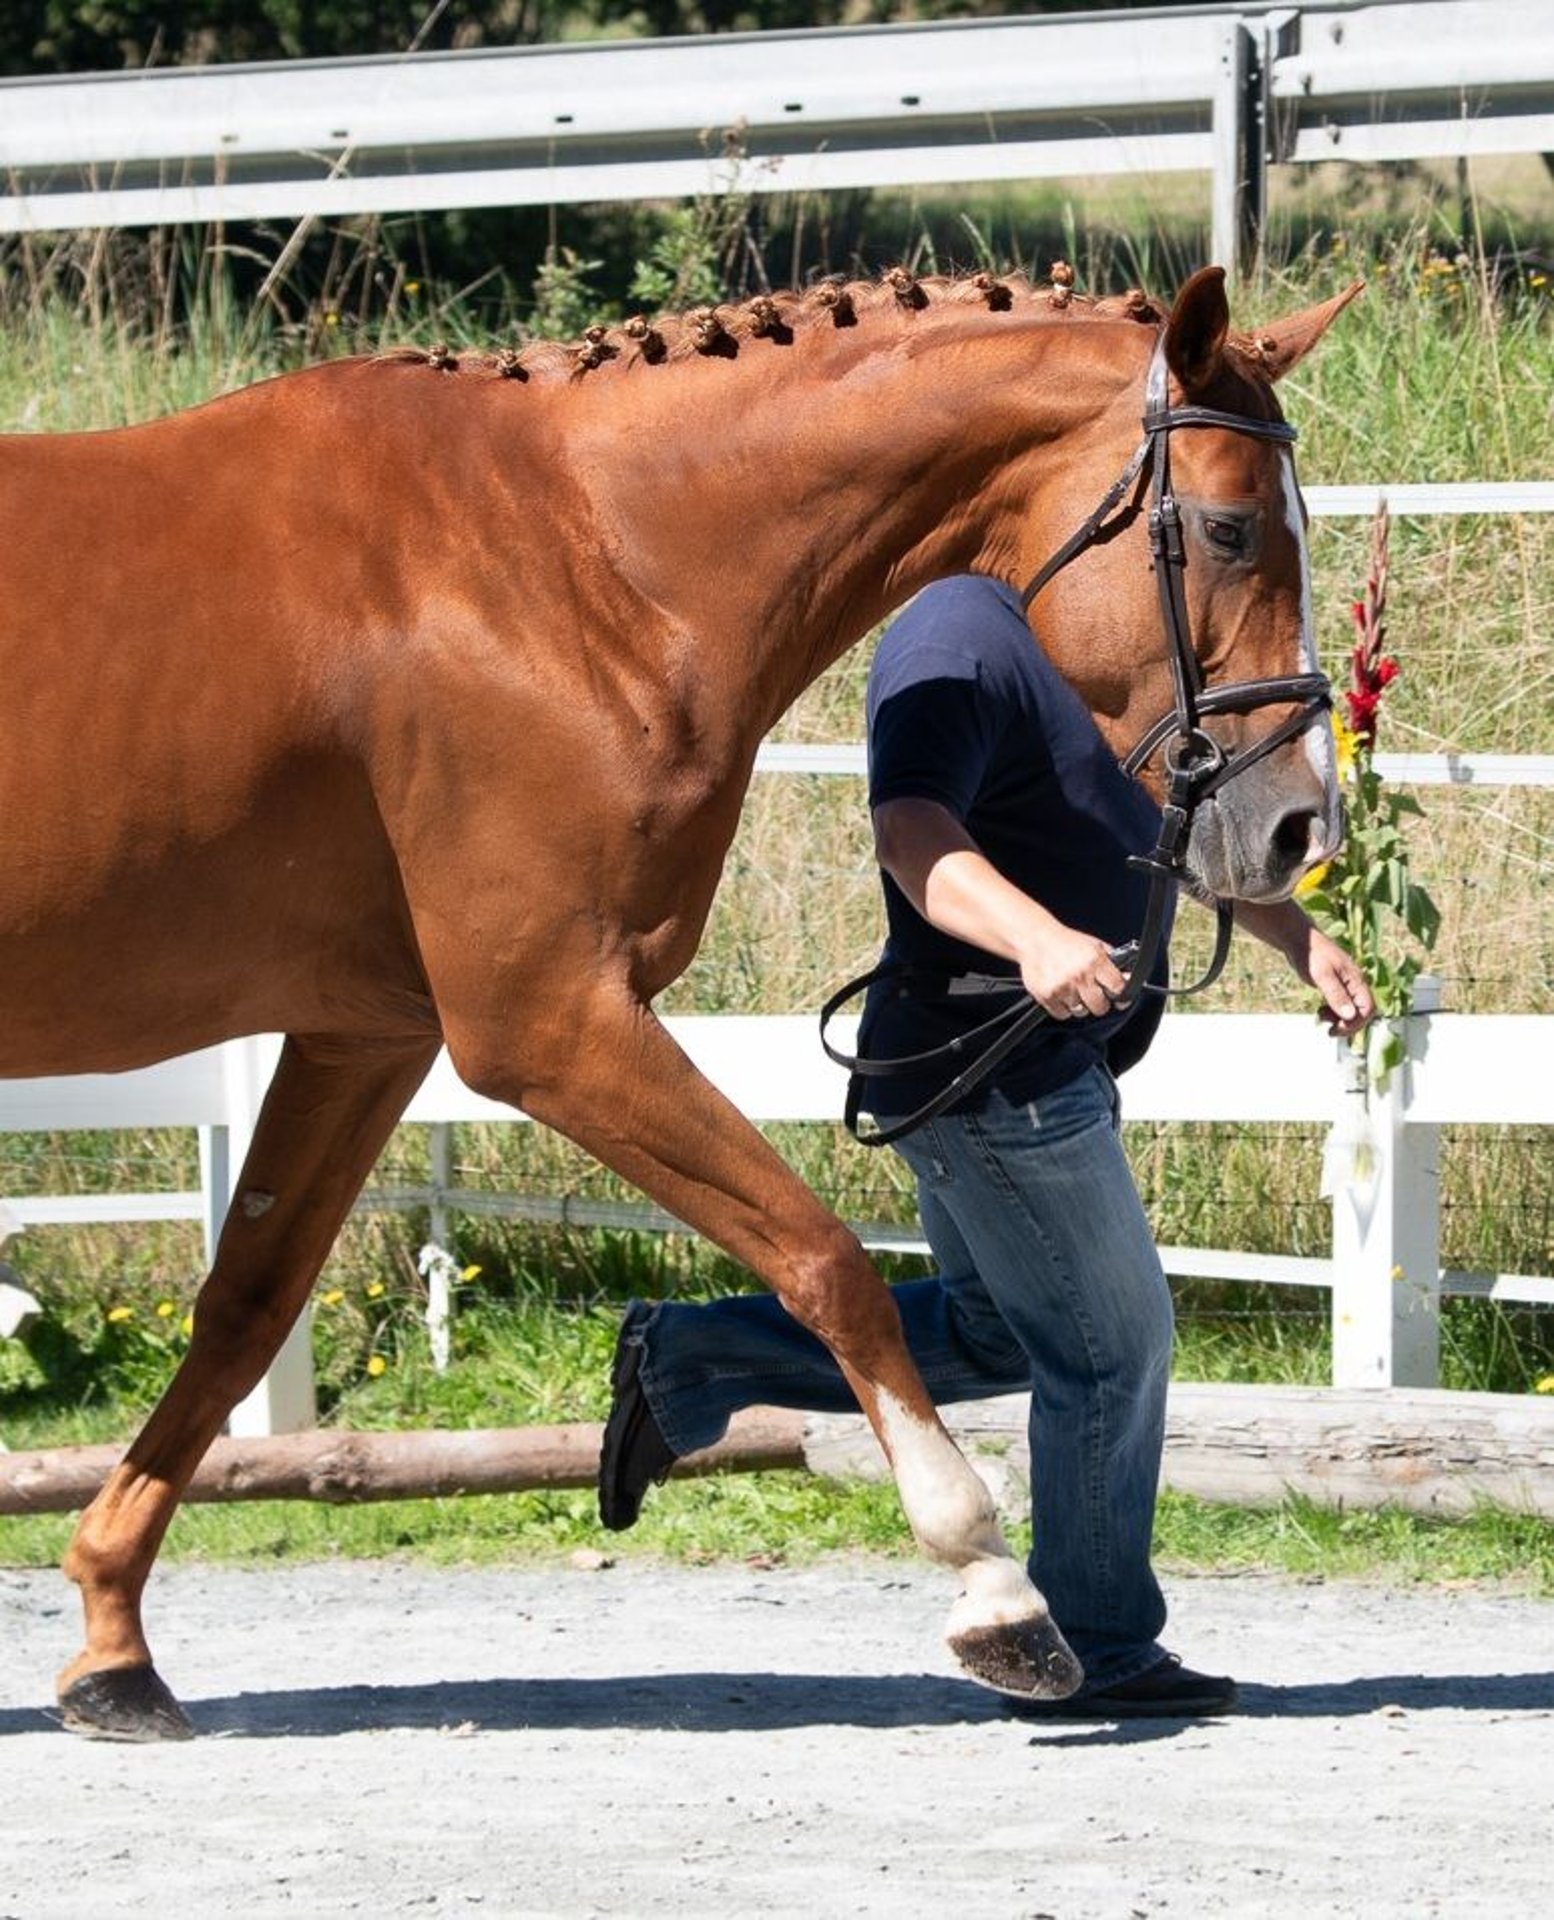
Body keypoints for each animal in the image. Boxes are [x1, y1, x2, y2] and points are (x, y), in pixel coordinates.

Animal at [0, 259, 1352, 1743]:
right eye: (1227, 526)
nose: (1297, 831)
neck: (574, 559)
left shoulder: (371, 1034)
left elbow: (242, 1309)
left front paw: (112, 1643)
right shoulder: (546, 1023)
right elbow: (825, 1263)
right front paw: (995, 1591)